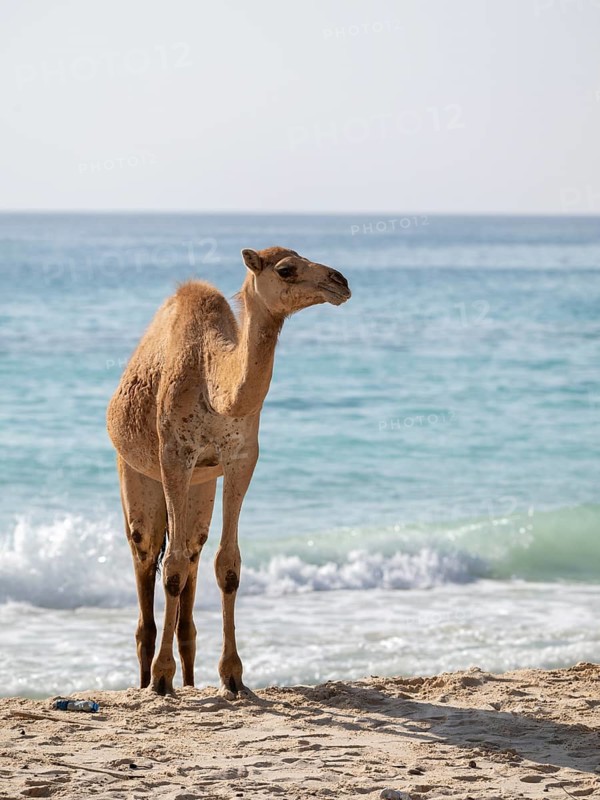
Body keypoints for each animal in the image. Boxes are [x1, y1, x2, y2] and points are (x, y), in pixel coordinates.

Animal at [106, 246, 351, 697]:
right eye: (286, 269)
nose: (340, 281)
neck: (213, 384)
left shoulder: (240, 458)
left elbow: (228, 564)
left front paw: (233, 675)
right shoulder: (175, 455)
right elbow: (171, 568)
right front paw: (162, 679)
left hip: (201, 486)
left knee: (193, 551)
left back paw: (188, 680)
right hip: (134, 470)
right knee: (145, 551)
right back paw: (149, 680)